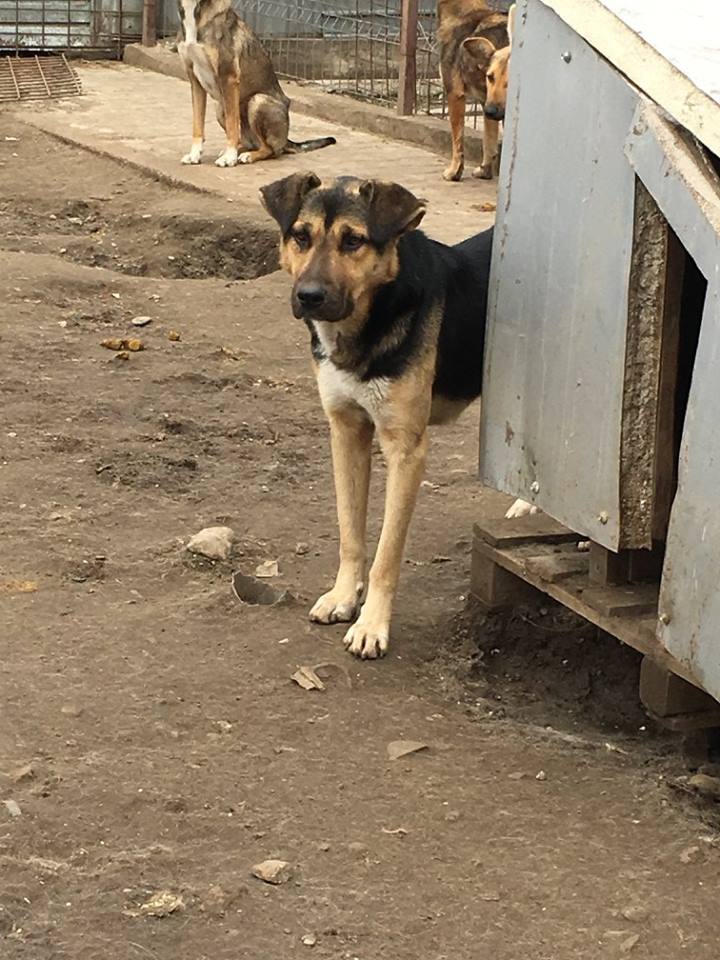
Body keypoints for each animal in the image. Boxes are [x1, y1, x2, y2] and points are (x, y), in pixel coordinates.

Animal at [179, 0, 338, 169]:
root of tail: (286, 140)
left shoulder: (228, 76)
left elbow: (232, 125)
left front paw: (229, 158)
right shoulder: (194, 80)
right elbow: (198, 125)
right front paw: (195, 155)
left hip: (257, 101)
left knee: (271, 150)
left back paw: (247, 156)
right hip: (220, 108)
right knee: (249, 142)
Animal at [262, 169, 532, 656]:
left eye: (353, 240)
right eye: (301, 236)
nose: (309, 297)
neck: (369, 323)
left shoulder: (406, 450)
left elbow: (387, 554)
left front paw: (371, 625)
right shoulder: (346, 432)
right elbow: (350, 532)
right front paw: (343, 596)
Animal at [436, 0, 516, 182]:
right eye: (489, 77)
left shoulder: (454, 93)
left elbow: (457, 140)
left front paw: (454, 172)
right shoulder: (488, 102)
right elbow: (489, 141)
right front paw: (485, 170)